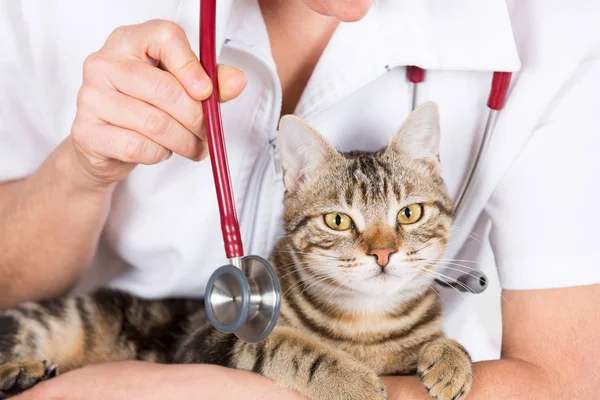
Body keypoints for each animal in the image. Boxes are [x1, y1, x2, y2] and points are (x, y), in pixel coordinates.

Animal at [0, 103, 474, 400]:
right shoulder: (206, 345)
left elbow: (439, 342)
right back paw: (18, 374)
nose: (383, 254)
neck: (364, 323)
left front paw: (451, 358)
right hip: (57, 320)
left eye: (409, 213)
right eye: (338, 221)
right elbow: (292, 348)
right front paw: (352, 381)